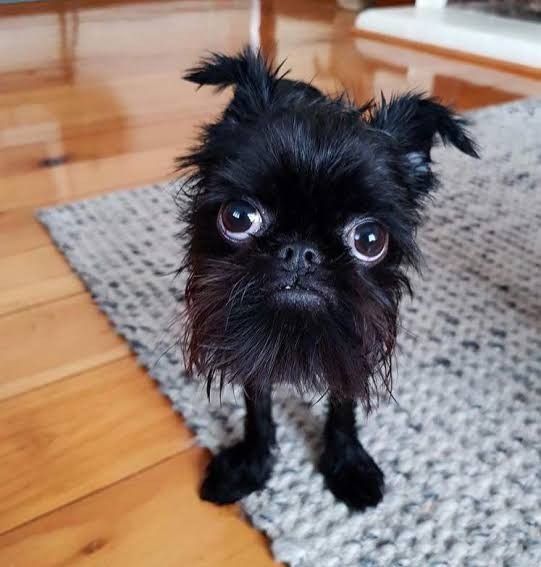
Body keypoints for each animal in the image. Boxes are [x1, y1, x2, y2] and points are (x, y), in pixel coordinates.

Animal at [177, 47, 476, 510]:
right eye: (238, 217)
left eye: (369, 239)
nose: (301, 252)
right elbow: (257, 404)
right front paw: (251, 464)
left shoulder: (356, 343)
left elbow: (343, 404)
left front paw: (348, 463)